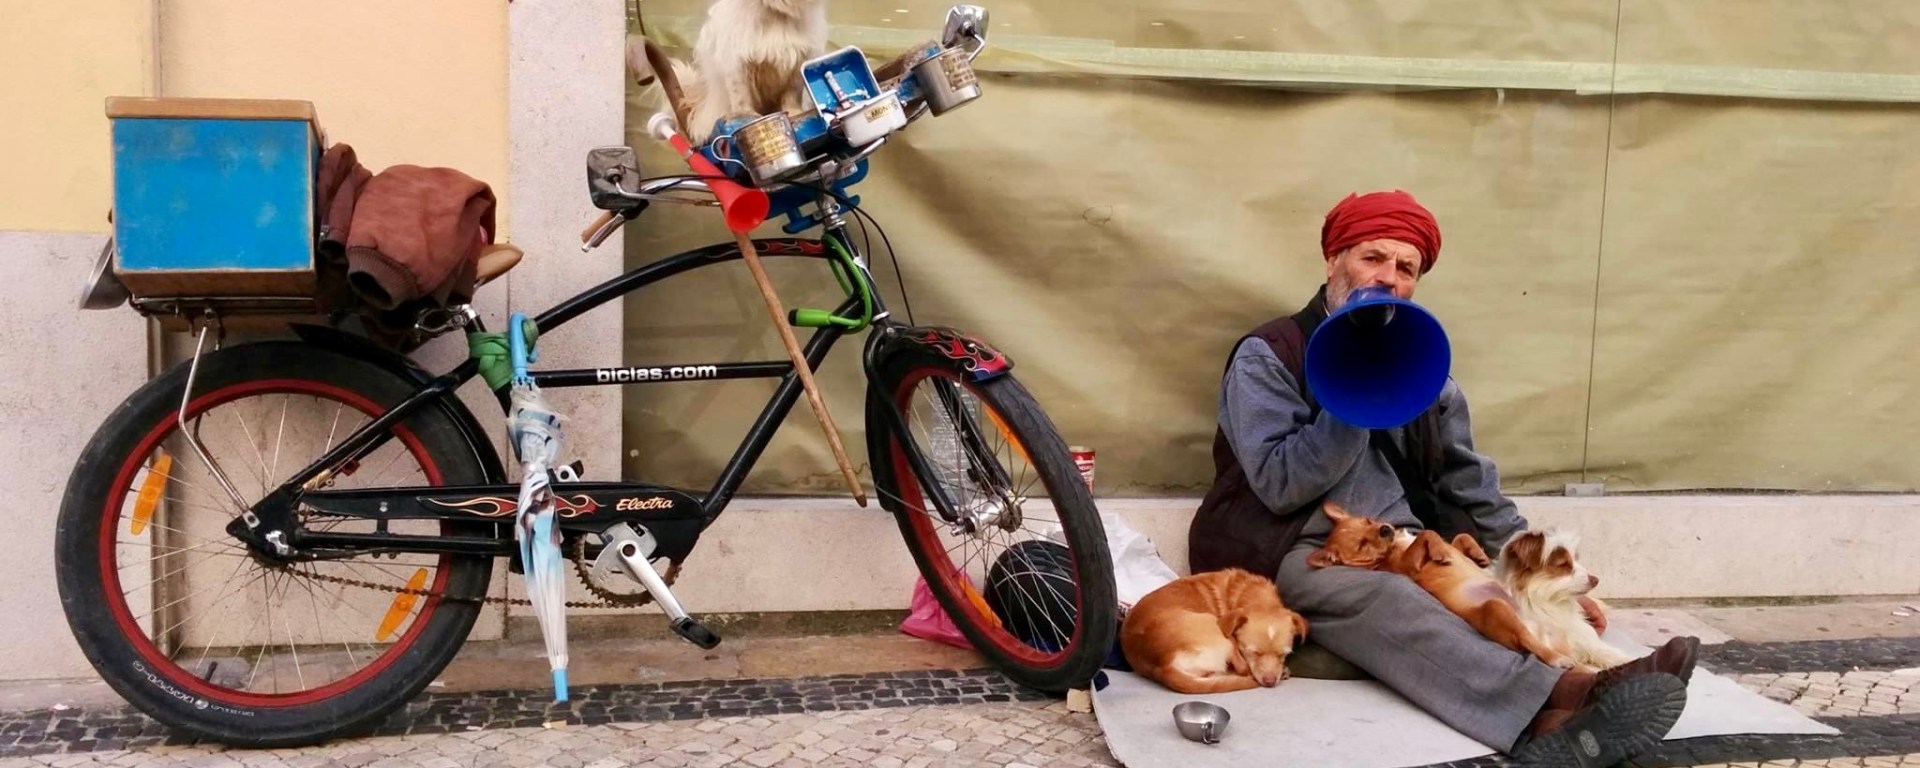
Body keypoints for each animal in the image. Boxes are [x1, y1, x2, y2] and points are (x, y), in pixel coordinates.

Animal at [629, 0, 829, 143]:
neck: (776, 10)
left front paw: (795, 114)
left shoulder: (797, 63)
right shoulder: (738, 63)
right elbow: (741, 98)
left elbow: (791, 96)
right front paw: (745, 118)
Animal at [1120, 568, 1309, 694]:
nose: (1270, 682)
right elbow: (1243, 666)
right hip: (1214, 625)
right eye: (1252, 653)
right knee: (1241, 668)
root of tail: (1163, 665)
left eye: (1283, 654)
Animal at [1306, 502, 1575, 669]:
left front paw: (1478, 555)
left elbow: (1460, 537)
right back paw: (1557, 660)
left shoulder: (1450, 544)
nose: (1385, 529)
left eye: (1368, 520)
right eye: (1362, 544)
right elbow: (1430, 534)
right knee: (1529, 643)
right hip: (1497, 609)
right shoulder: (1408, 565)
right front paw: (1439, 552)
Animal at [1495, 529, 1636, 671]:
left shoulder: (1578, 630)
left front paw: (1627, 660)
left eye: (1576, 559)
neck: (1549, 603)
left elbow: (1598, 647)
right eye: (1563, 564)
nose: (1596, 580)